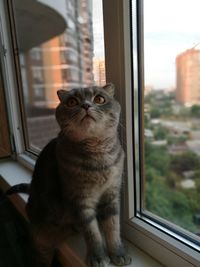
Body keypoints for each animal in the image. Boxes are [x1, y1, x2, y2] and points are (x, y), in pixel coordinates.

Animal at [5, 84, 131, 267]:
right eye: (72, 102)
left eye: (99, 99)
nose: (86, 105)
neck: (98, 158)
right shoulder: (79, 200)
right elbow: (92, 232)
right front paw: (98, 256)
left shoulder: (111, 194)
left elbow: (113, 228)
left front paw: (118, 253)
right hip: (42, 243)